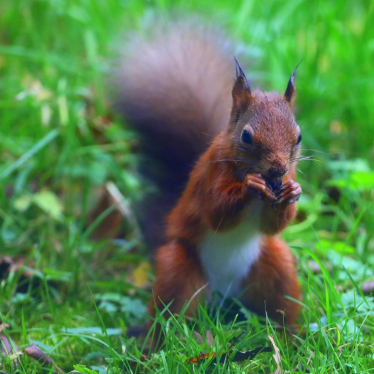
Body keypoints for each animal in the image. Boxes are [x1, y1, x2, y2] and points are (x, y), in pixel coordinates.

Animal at [115, 21, 302, 328]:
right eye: (247, 136)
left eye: (298, 137)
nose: (278, 169)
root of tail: (223, 294)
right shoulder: (210, 176)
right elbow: (216, 212)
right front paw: (249, 187)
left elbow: (272, 227)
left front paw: (292, 192)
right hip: (179, 269)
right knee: (172, 314)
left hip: (276, 266)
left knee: (280, 306)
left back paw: (291, 335)